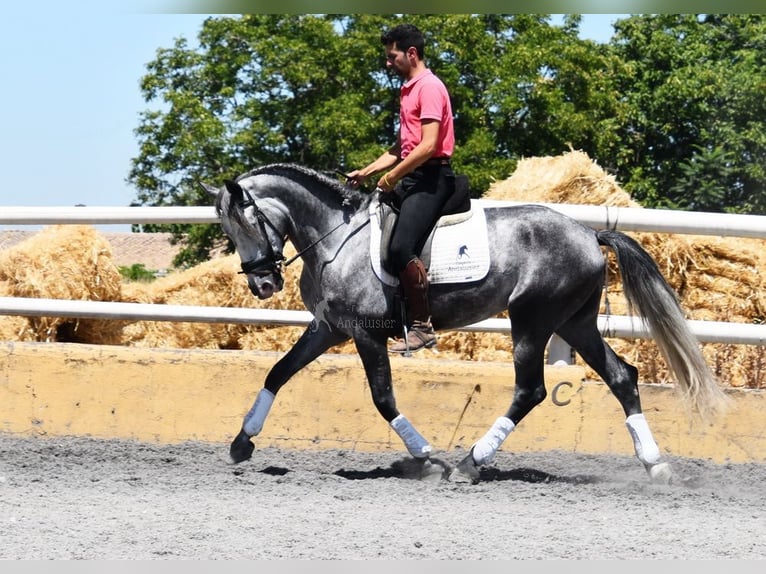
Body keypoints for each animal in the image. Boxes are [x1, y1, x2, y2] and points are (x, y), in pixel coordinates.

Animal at [202, 163, 728, 486]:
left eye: (246, 222)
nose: (262, 284)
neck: (336, 239)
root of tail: (588, 233)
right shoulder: (330, 327)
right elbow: (278, 372)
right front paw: (242, 442)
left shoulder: (367, 334)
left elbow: (382, 399)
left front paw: (426, 456)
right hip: (574, 322)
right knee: (621, 376)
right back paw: (655, 466)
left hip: (532, 320)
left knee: (531, 390)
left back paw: (469, 463)